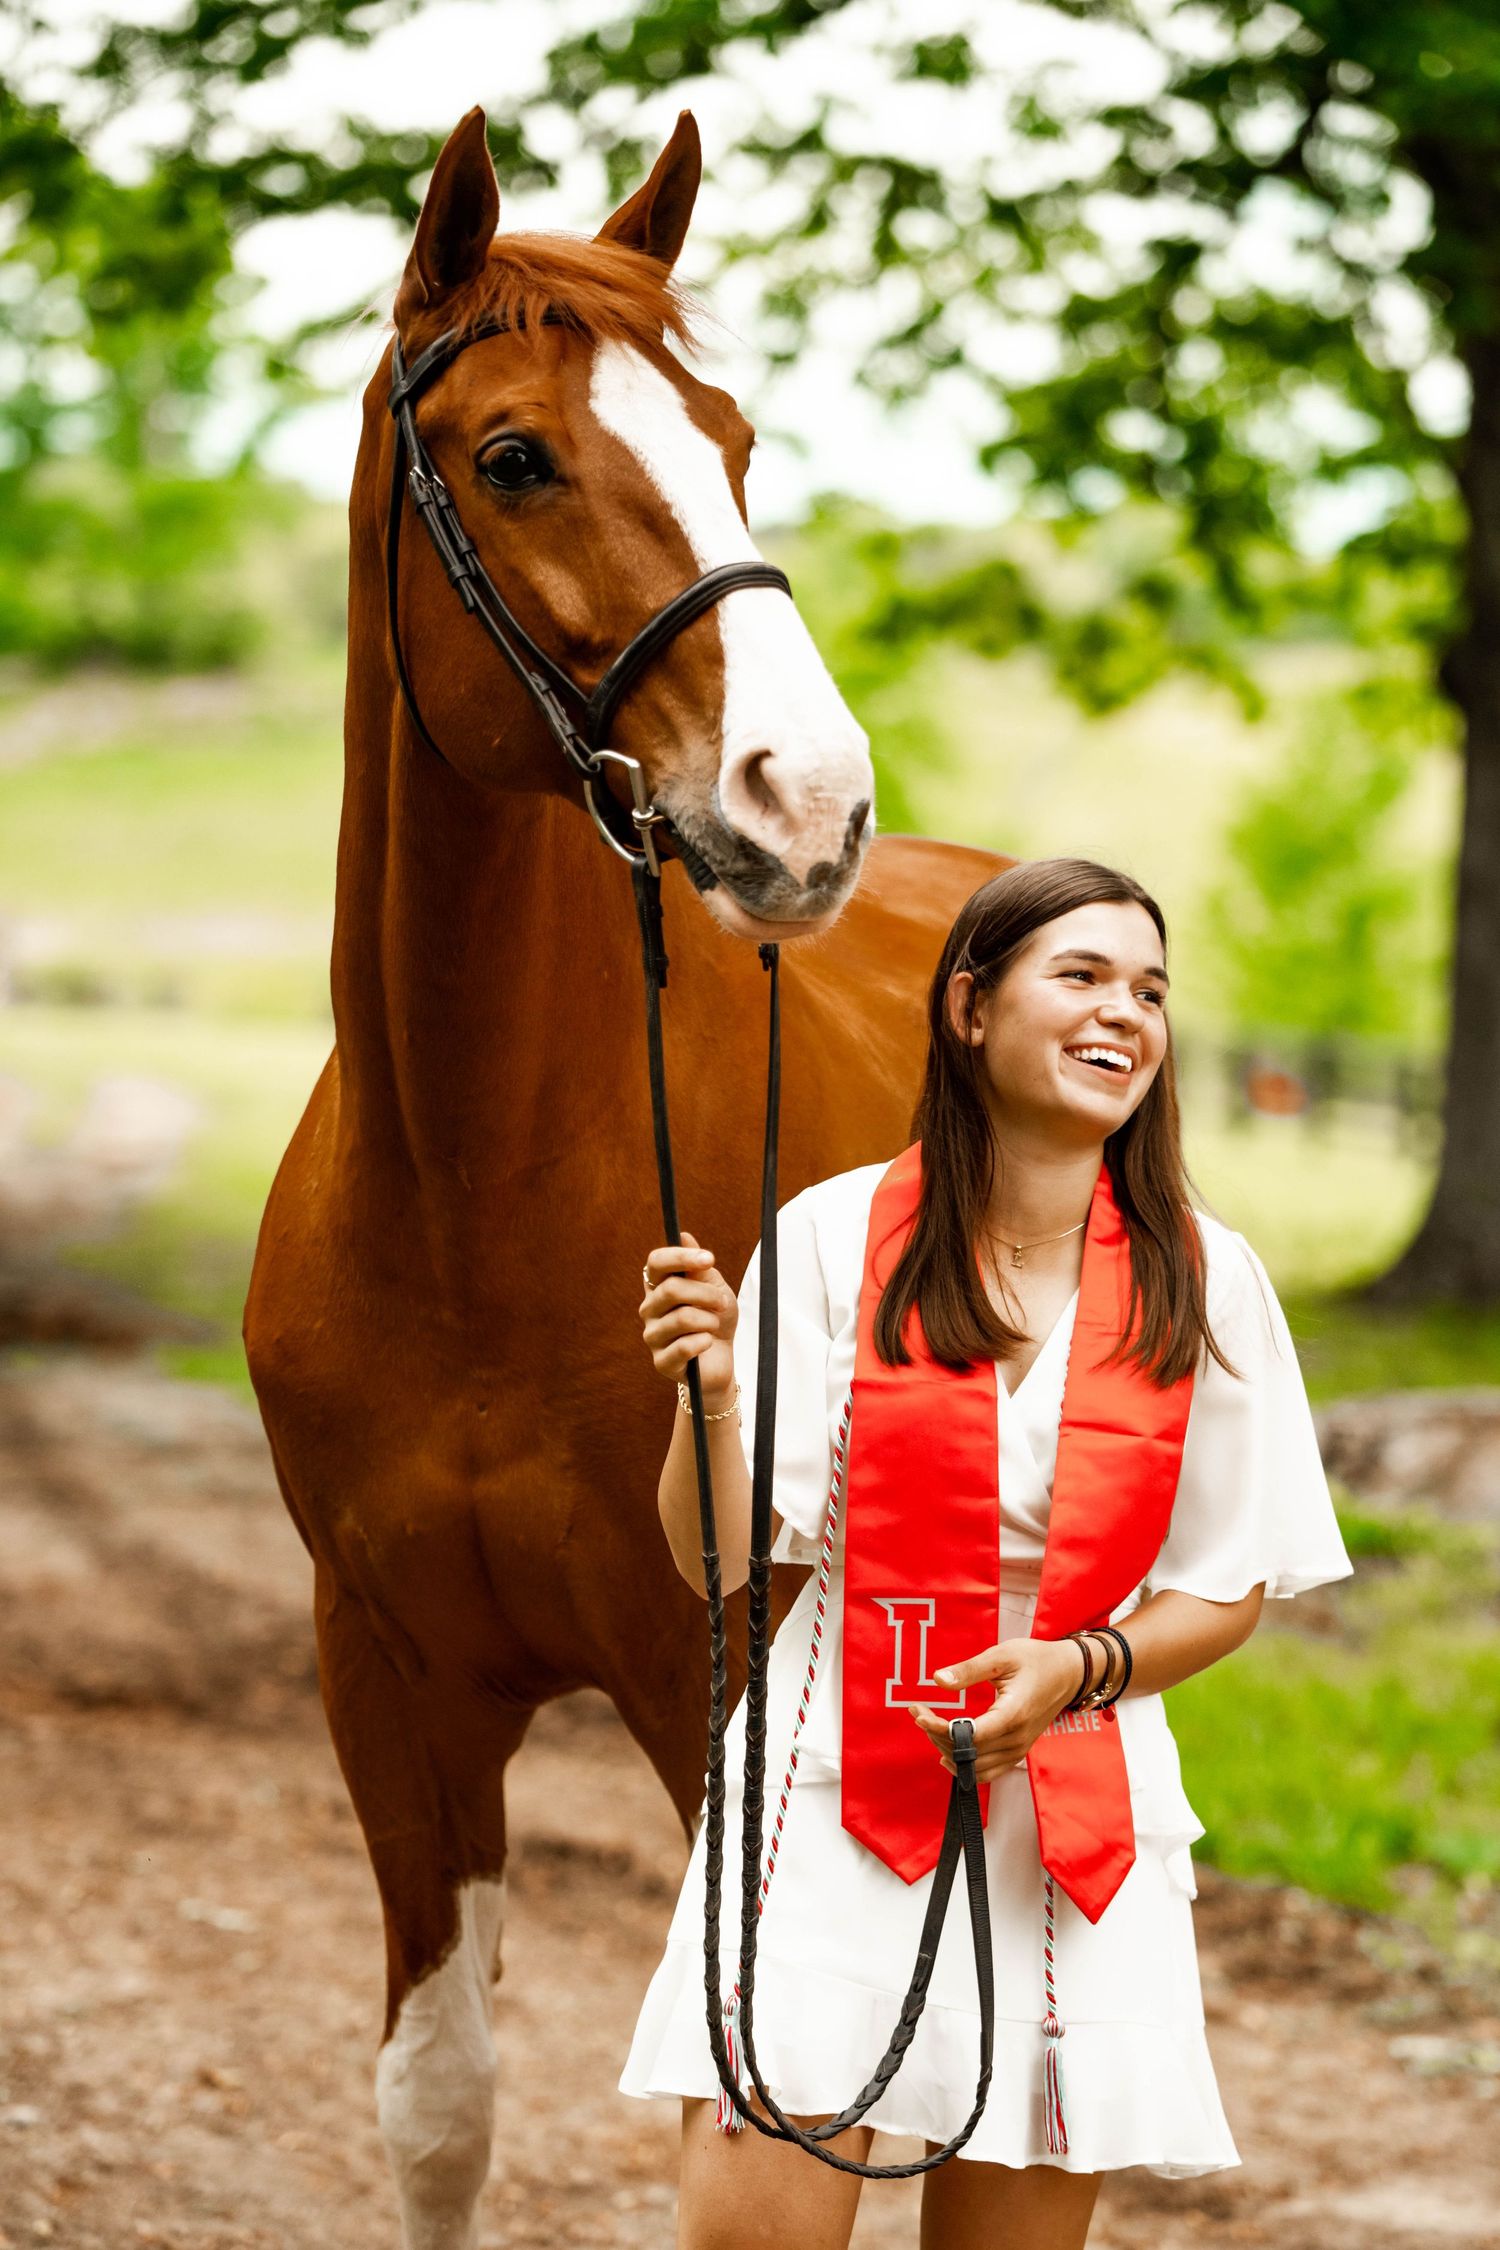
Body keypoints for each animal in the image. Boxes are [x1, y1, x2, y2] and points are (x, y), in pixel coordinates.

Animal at [244, 103, 1007, 2250]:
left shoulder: (711, 1696)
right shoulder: (393, 1687)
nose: (806, 801)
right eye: (514, 457)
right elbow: (437, 2107)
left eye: (732, 436)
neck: (472, 1195)